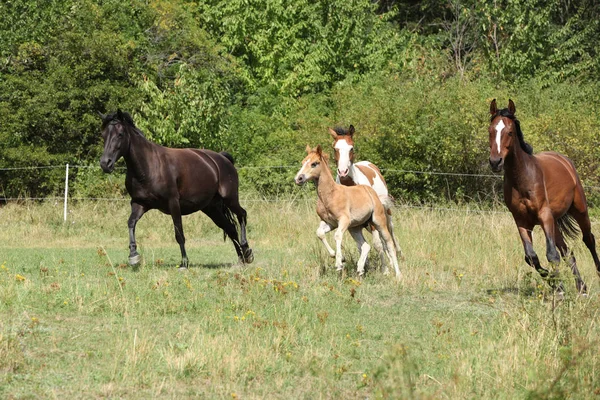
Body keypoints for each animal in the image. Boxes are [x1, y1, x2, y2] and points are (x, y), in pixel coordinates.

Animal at [99, 111, 253, 270]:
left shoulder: (173, 203)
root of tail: (223, 159)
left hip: (230, 199)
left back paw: (247, 251)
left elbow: (179, 233)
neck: (149, 166)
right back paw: (241, 260)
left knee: (242, 215)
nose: (105, 163)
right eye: (103, 134)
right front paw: (133, 256)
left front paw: (184, 263)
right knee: (231, 229)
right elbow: (131, 223)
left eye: (120, 134)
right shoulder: (139, 203)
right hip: (211, 209)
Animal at [328, 126, 404, 272]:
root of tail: (369, 164)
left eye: (351, 148)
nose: (342, 172)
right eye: (335, 148)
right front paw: (364, 265)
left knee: (389, 233)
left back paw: (397, 256)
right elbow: (361, 246)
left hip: (385, 214)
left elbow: (377, 244)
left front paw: (385, 269)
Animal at [488, 99, 600, 294]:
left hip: (579, 210)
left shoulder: (544, 215)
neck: (523, 178)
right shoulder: (521, 221)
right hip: (554, 222)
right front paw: (554, 283)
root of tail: (564, 160)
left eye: (509, 132)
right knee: (567, 252)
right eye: (490, 130)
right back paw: (581, 287)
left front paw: (559, 288)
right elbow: (531, 257)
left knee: (588, 239)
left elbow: (551, 254)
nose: (495, 162)